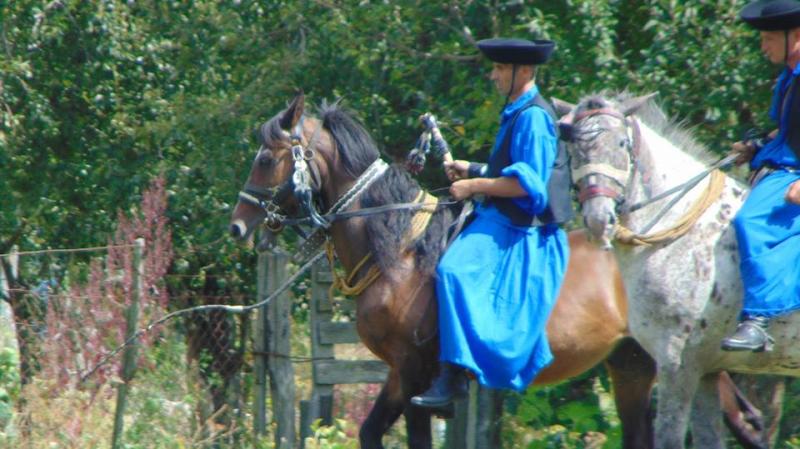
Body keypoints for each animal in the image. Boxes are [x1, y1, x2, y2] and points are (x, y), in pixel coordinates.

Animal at [229, 93, 762, 449]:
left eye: (265, 158)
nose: (238, 224)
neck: (399, 252)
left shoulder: (415, 373)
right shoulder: (400, 375)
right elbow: (368, 431)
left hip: (681, 362)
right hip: (633, 366)